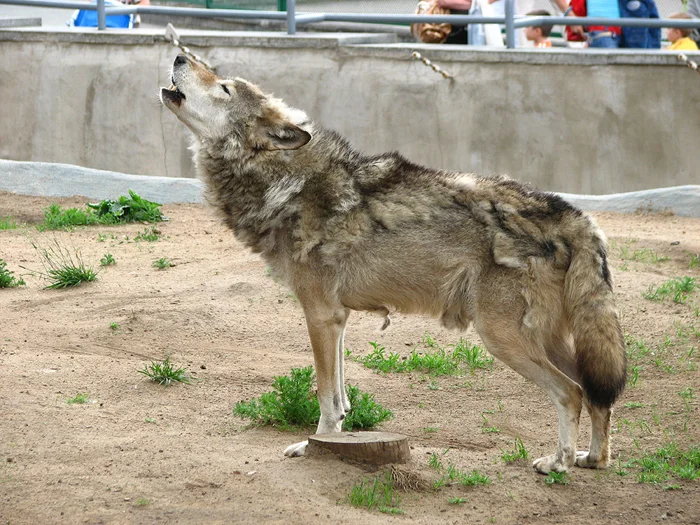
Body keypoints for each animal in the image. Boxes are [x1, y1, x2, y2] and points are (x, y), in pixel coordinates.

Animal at [161, 55, 628, 472]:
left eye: (224, 87)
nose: (179, 55)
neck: (288, 182)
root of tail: (577, 216)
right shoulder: (338, 318)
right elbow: (341, 398)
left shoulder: (320, 314)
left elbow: (325, 397)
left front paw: (314, 448)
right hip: (551, 341)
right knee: (597, 394)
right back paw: (593, 459)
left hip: (502, 338)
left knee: (571, 393)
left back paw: (559, 462)